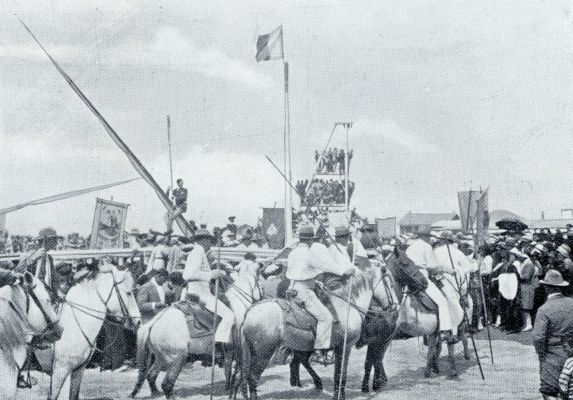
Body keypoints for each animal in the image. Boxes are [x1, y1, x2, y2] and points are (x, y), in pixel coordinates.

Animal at [34, 262, 141, 400]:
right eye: (128, 293)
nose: (139, 321)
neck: (74, 322)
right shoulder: (60, 370)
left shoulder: (78, 369)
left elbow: (74, 395)